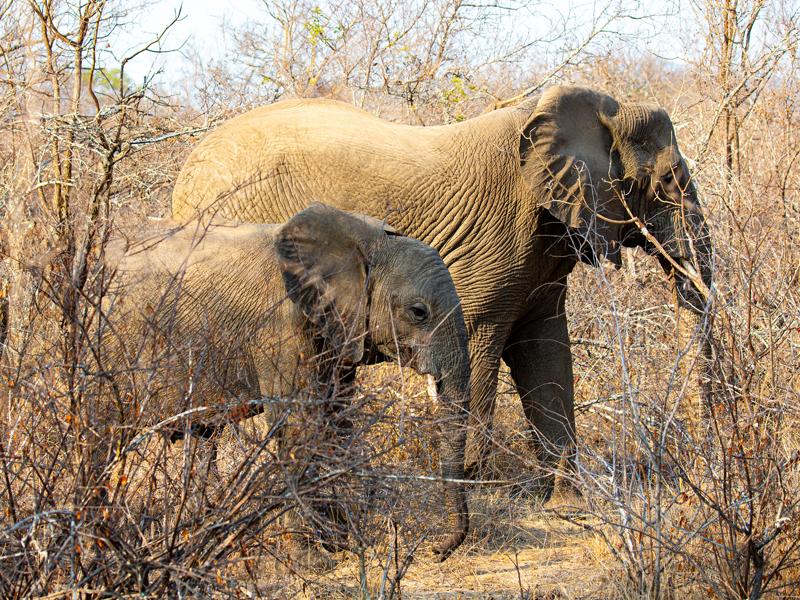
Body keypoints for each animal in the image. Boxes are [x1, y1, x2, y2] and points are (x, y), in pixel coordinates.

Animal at [105, 203, 471, 560]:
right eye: (418, 312)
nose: (437, 550)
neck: (365, 241)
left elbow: (334, 420)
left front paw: (340, 540)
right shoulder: (280, 327)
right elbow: (299, 426)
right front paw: (314, 558)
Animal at [171, 85, 713, 499]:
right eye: (668, 181)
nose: (703, 468)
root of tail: (182, 178)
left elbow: (546, 351)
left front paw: (565, 495)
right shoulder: (497, 246)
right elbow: (483, 345)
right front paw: (479, 485)